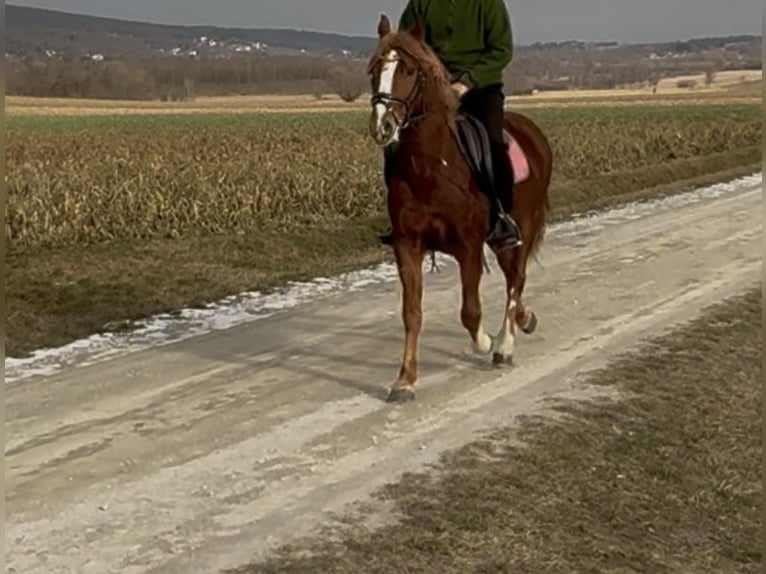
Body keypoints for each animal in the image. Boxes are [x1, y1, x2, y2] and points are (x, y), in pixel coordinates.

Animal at [367, 14, 553, 403]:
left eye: (408, 69)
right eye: (375, 69)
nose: (383, 126)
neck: (431, 167)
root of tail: (533, 133)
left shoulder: (468, 246)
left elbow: (470, 312)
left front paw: (487, 343)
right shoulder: (407, 246)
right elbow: (412, 312)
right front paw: (405, 380)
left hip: (521, 228)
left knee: (516, 280)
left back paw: (505, 345)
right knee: (515, 283)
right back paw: (524, 320)